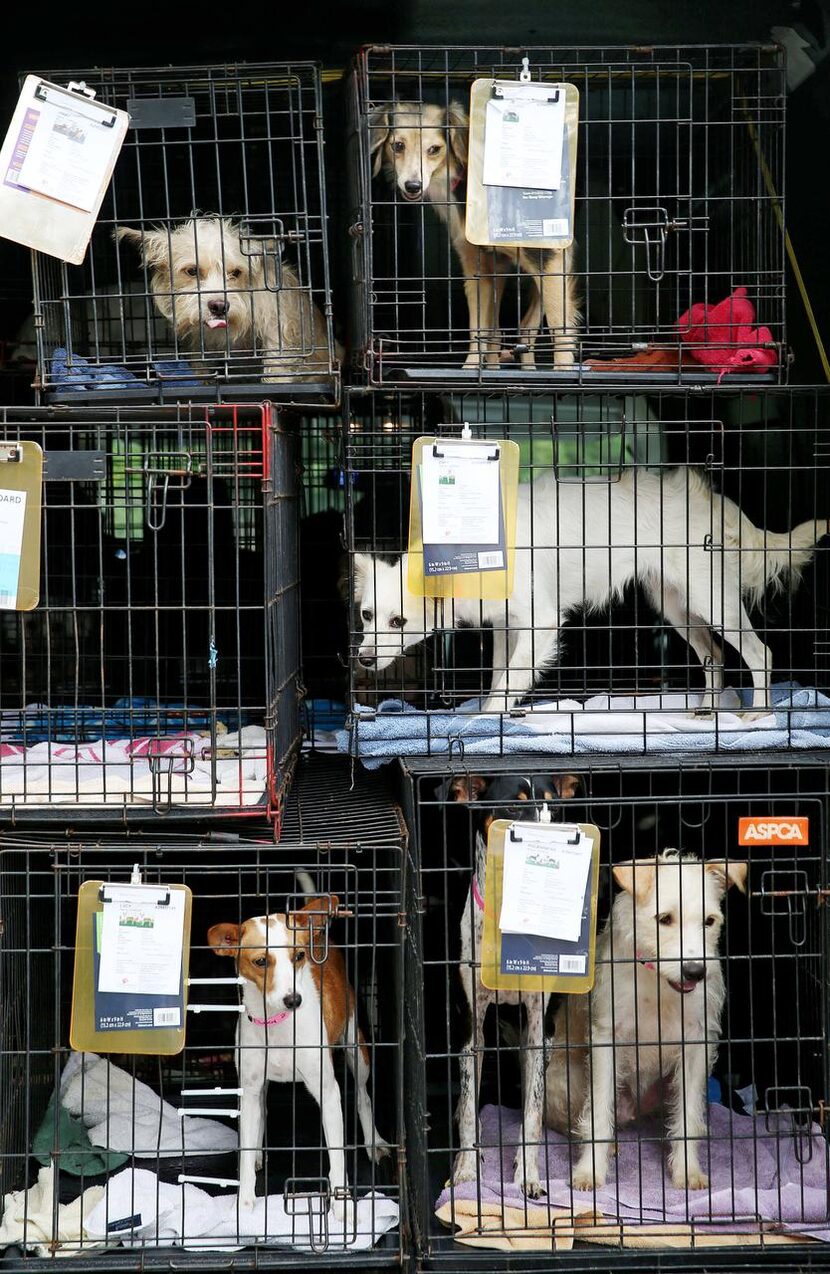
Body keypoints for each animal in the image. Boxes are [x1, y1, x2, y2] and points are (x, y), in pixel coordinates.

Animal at [115, 216, 339, 382]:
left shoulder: (276, 328)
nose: (219, 306)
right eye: (192, 271)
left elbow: (276, 368)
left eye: (236, 273)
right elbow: (201, 368)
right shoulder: (198, 343)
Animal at [207, 891, 390, 1217]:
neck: (277, 1024)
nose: (294, 999)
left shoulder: (327, 1091)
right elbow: (245, 1154)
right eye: (261, 961)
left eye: (299, 956)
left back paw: (374, 1141)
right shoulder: (249, 1088)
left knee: (363, 1096)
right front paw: (245, 1203)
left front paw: (342, 1207)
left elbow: (337, 1157)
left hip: (356, 1048)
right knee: (262, 1111)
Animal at [545, 845, 744, 1192]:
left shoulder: (696, 1042)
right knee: (574, 1120)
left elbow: (687, 1118)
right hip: (565, 1079)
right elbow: (598, 1114)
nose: (695, 971)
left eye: (709, 921)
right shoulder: (606, 1040)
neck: (658, 982)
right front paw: (590, 1171)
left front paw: (687, 1170)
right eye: (664, 919)